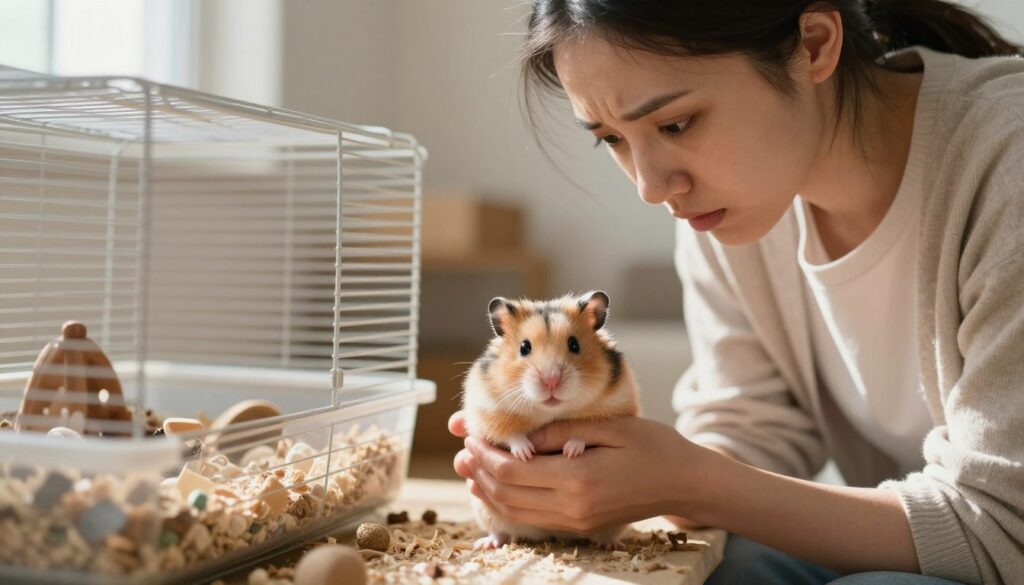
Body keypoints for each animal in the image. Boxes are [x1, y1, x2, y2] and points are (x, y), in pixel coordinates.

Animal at [461, 291, 640, 550]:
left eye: (574, 344)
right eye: (524, 347)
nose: (551, 381)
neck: (549, 412)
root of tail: (555, 534)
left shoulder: (621, 407)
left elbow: (583, 434)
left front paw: (570, 451)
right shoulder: (484, 413)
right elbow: (510, 434)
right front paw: (526, 454)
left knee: (607, 535)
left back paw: (614, 545)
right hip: (487, 513)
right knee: (500, 532)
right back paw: (487, 544)